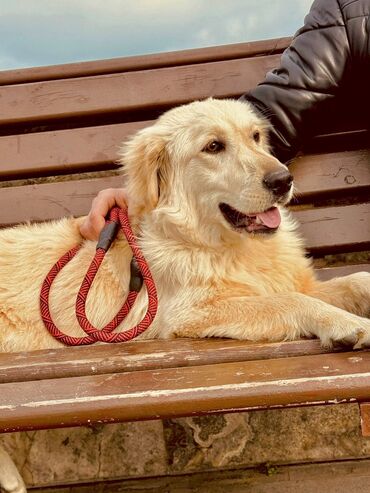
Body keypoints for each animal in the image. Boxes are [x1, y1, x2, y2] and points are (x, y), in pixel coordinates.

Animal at [0, 98, 370, 490]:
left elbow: (355, 279)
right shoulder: (194, 313)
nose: (283, 180)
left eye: (255, 136)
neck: (222, 245)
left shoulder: (297, 282)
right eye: (213, 147)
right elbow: (290, 301)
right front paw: (346, 324)